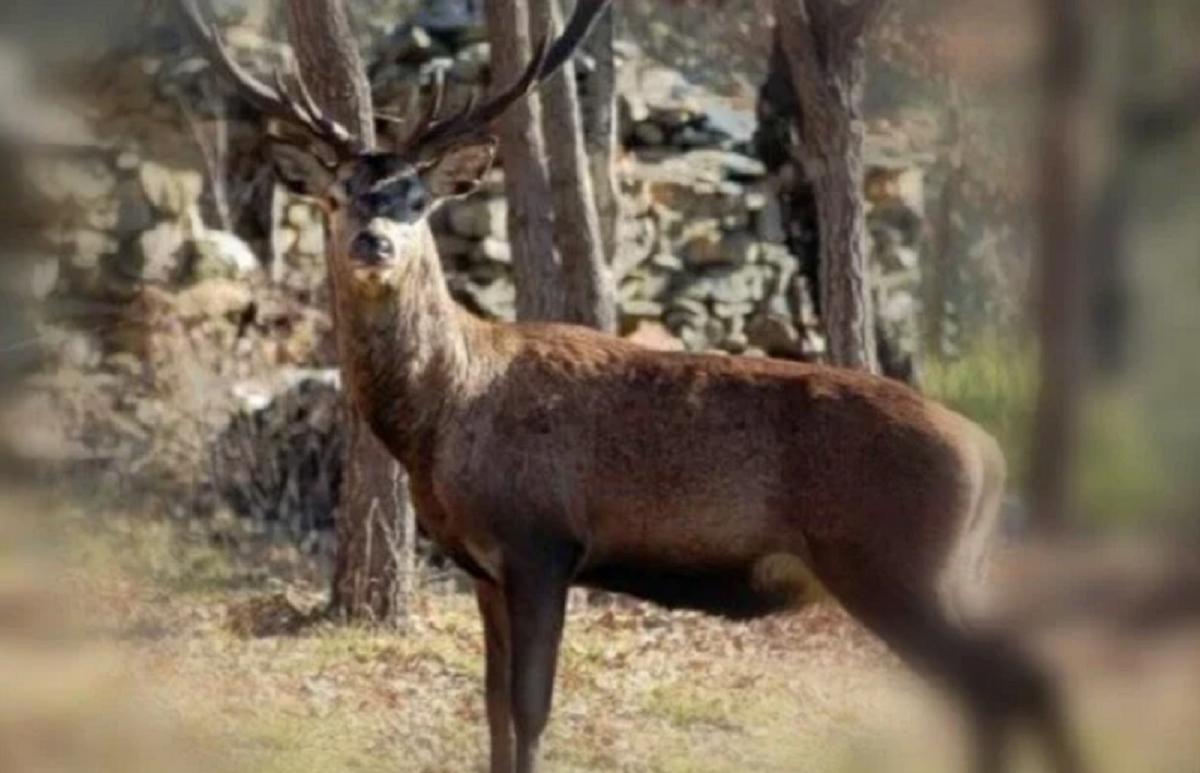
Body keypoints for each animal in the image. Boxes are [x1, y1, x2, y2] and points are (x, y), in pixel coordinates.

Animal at [180, 1, 1089, 773]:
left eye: (415, 198)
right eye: (338, 194)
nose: (372, 241)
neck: (443, 421)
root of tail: (990, 457)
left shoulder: (542, 539)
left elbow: (531, 710)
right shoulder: (483, 566)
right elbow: (492, 712)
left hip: (894, 559)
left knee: (1014, 682)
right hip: (945, 570)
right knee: (1012, 684)